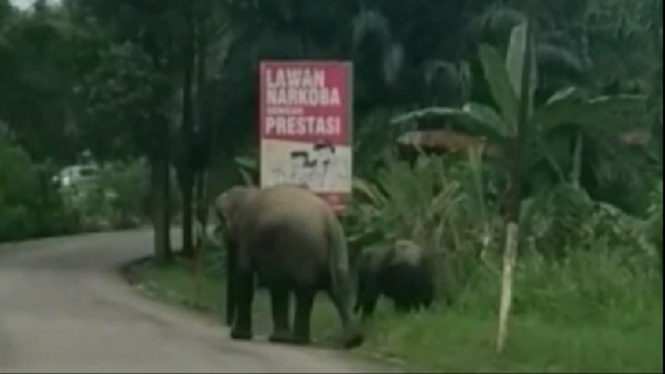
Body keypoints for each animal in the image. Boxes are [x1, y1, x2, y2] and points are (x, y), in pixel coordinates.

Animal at [215, 186, 364, 350]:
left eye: (223, 227)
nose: (227, 324)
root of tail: (328, 222)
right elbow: (277, 285)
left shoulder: (246, 233)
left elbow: (245, 275)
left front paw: (239, 336)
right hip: (338, 246)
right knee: (337, 288)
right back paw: (352, 341)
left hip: (305, 248)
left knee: (305, 289)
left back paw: (297, 340)